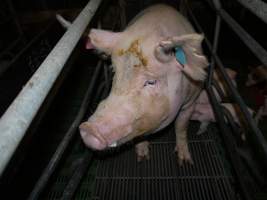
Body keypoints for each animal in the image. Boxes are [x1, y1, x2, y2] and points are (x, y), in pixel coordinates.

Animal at [79, 3, 209, 165]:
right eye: (114, 71)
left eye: (151, 81)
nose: (89, 129)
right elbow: (141, 135)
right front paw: (143, 158)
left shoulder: (192, 100)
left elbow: (181, 126)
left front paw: (185, 162)